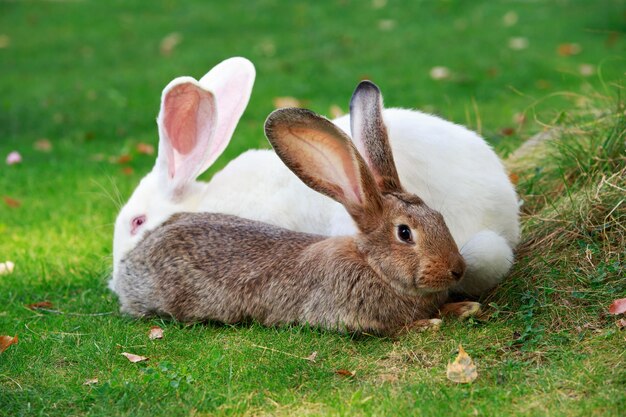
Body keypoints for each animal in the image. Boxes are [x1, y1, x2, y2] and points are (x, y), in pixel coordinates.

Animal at [113, 82, 464, 334]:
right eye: (405, 233)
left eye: (440, 217)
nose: (457, 270)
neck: (374, 265)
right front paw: (428, 324)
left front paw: (461, 308)